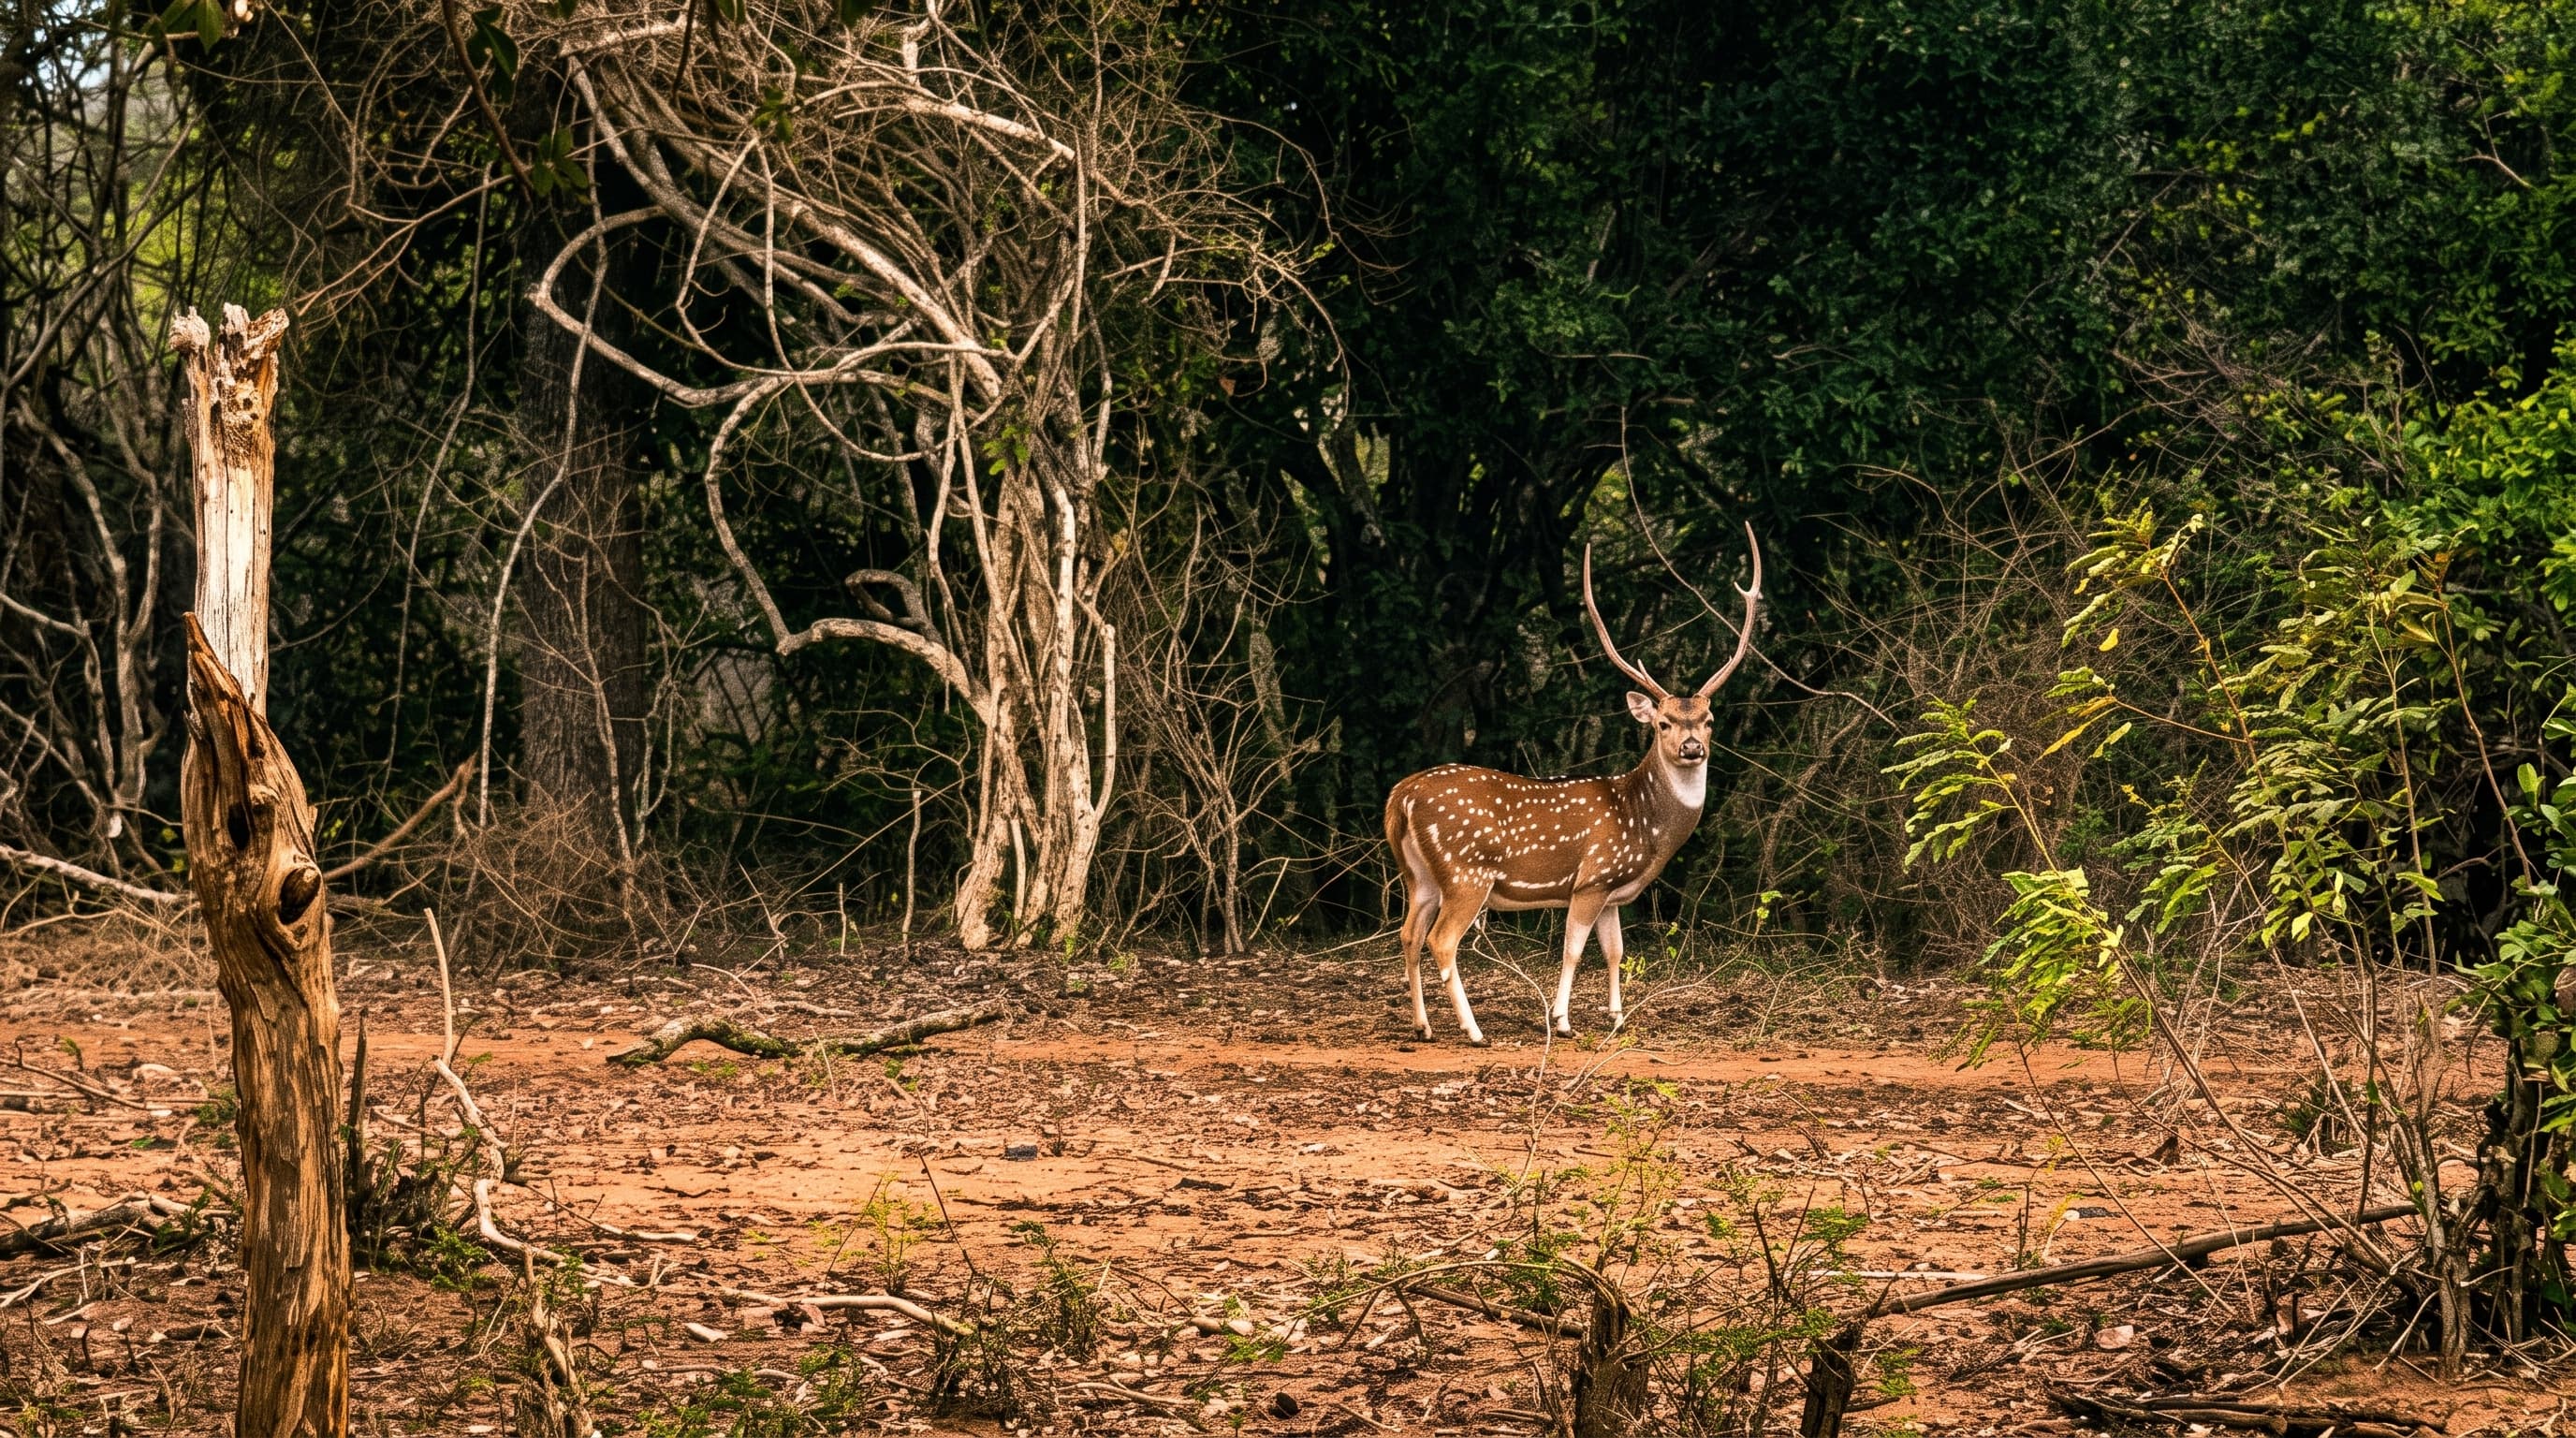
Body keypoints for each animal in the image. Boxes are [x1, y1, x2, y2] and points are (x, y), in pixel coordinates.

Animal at [1383, 526, 1762, 1046]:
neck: (1644, 824)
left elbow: (1615, 950)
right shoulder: (1593, 877)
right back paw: (1473, 1030)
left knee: (1407, 935)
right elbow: (1573, 950)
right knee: (1441, 940)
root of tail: (1401, 797)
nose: (1691, 747)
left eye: (1708, 721)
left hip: (1418, 875)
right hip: (1466, 872)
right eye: (1663, 723)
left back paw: (1423, 1027)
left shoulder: (1613, 891)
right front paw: (1561, 1021)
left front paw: (1618, 1019)